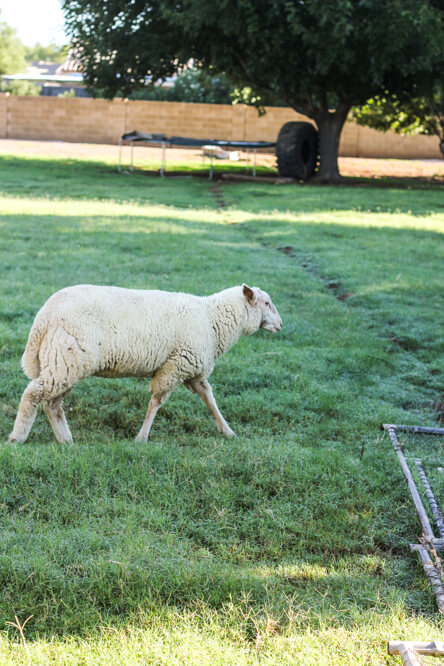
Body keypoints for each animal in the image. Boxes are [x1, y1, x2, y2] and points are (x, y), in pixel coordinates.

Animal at [7, 282, 280, 440]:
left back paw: (66, 440)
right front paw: (142, 438)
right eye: (267, 303)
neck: (213, 318)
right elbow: (157, 402)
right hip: (66, 360)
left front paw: (228, 431)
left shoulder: (192, 368)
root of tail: (43, 318)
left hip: (66, 362)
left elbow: (209, 398)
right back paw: (17, 438)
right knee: (34, 394)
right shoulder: (175, 365)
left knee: (51, 403)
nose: (280, 325)